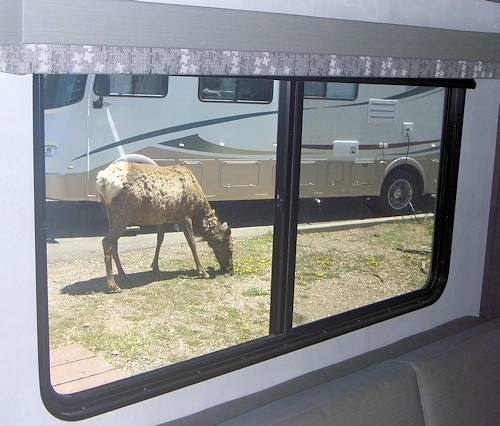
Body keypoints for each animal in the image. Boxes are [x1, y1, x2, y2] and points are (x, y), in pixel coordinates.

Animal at [96, 161, 233, 292]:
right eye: (229, 247)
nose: (230, 270)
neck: (197, 211)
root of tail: (101, 181)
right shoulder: (184, 215)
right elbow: (192, 243)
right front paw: (203, 272)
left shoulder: (163, 218)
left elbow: (159, 240)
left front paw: (155, 267)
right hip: (123, 216)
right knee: (106, 242)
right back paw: (113, 286)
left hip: (112, 216)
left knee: (113, 244)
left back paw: (123, 275)